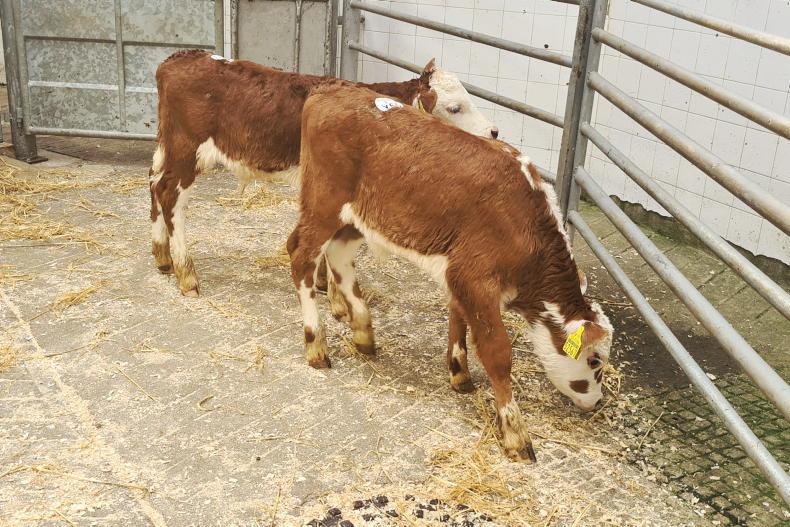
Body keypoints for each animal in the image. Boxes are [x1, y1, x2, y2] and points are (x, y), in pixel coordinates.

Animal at [149, 50, 498, 297]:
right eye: (454, 108)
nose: (493, 131)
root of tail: (179, 58)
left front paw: (319, 281)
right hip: (186, 151)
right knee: (169, 196)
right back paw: (186, 274)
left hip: (167, 147)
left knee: (153, 182)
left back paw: (163, 257)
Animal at [288, 85, 613, 462]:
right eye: (595, 361)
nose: (598, 402)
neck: (525, 220)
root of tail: (331, 90)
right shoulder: (475, 277)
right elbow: (498, 353)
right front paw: (514, 432)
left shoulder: (459, 273)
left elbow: (458, 316)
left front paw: (459, 372)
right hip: (323, 204)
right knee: (301, 258)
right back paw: (316, 345)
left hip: (356, 218)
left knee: (338, 257)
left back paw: (364, 331)